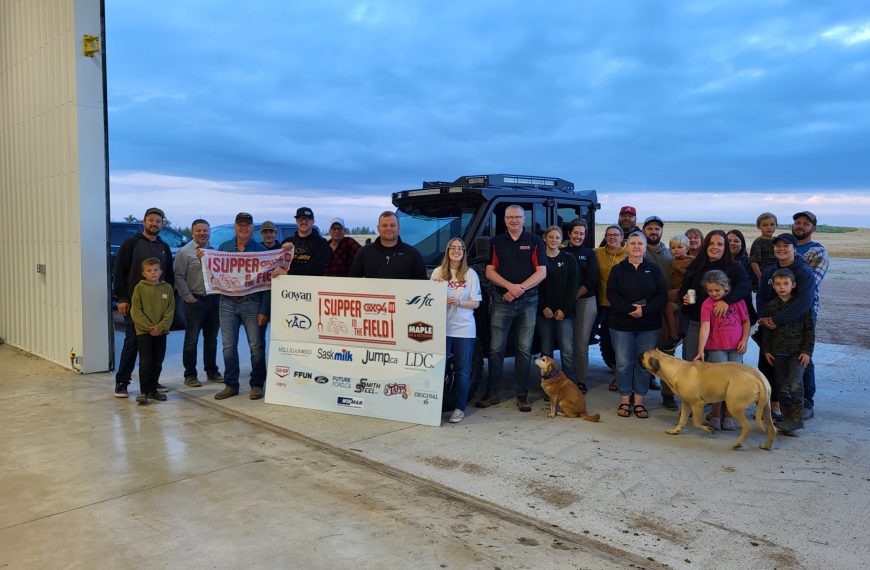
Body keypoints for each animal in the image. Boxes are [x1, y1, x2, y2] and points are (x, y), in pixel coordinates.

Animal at [640, 346, 776, 448]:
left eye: (642, 356)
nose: (638, 354)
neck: (674, 368)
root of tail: (757, 377)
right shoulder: (686, 403)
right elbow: (682, 420)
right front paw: (676, 430)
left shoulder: (697, 404)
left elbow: (696, 422)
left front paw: (708, 429)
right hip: (765, 408)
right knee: (772, 429)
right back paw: (767, 446)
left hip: (734, 406)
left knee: (747, 427)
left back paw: (737, 444)